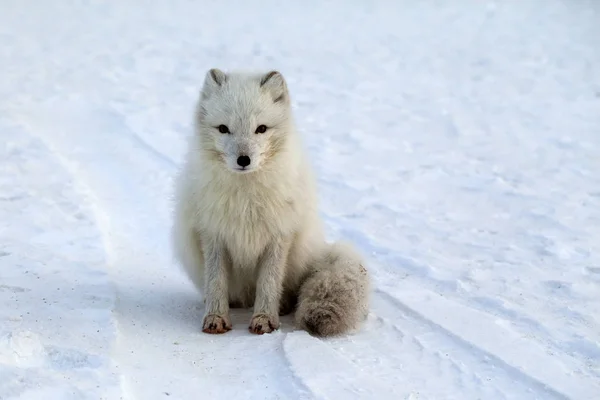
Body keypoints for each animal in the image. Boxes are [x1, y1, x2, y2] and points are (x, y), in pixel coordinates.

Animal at [170, 67, 370, 336]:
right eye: (223, 129)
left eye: (261, 129)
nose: (243, 160)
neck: (246, 198)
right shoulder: (213, 234)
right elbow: (215, 282)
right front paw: (215, 318)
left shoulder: (279, 235)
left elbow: (269, 283)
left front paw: (265, 319)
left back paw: (282, 306)